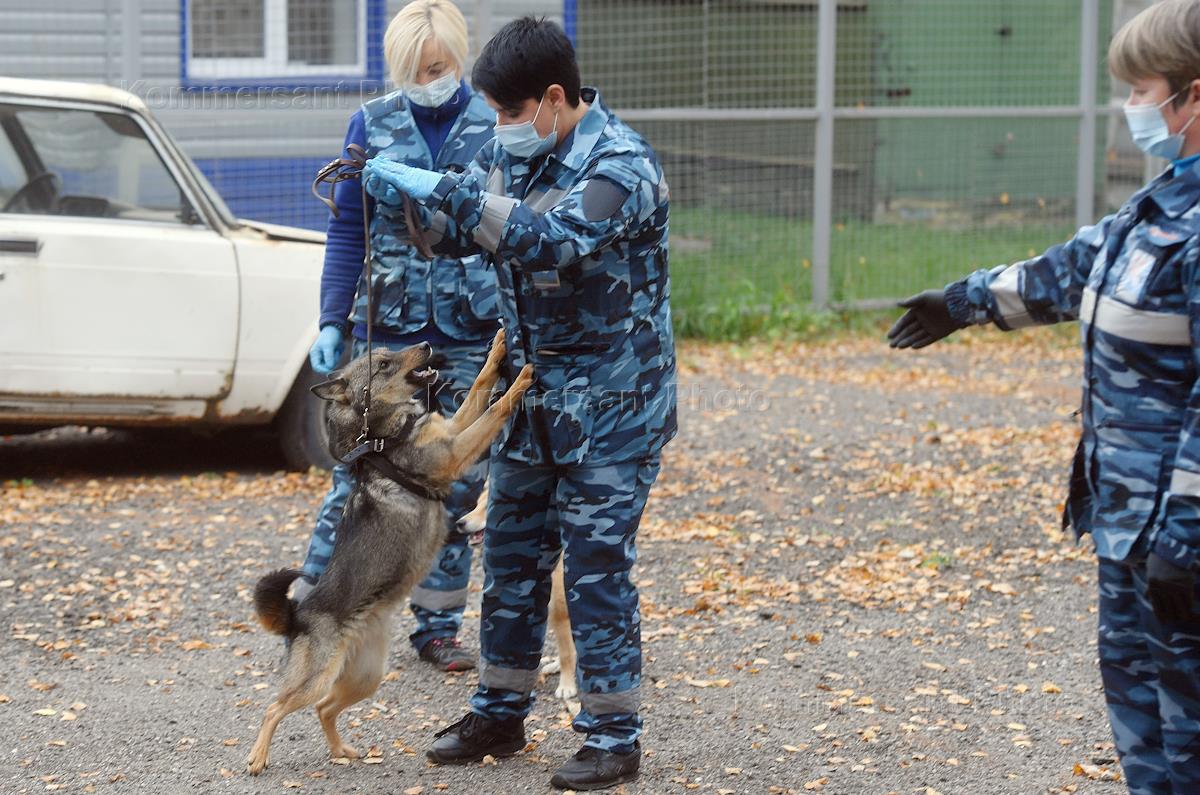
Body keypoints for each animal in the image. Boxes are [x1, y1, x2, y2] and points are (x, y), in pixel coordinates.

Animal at [246, 331, 532, 778]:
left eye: (388, 353)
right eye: (382, 364)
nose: (428, 344)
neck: (382, 435)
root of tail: (297, 617)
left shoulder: (451, 429)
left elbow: (480, 388)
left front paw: (500, 348)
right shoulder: (454, 449)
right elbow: (495, 408)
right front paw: (522, 379)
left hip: (367, 677)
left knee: (325, 709)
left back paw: (340, 750)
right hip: (315, 679)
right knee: (275, 707)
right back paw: (258, 757)